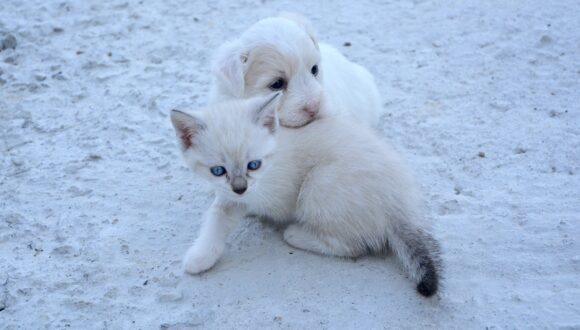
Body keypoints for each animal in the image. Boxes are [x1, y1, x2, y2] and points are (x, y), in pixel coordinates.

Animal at [170, 94, 442, 296]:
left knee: (354, 246)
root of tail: (401, 205)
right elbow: (216, 219)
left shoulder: (277, 193)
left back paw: (296, 234)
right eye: (218, 170)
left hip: (319, 185)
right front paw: (202, 255)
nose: (240, 188)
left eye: (253, 165)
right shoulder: (229, 197)